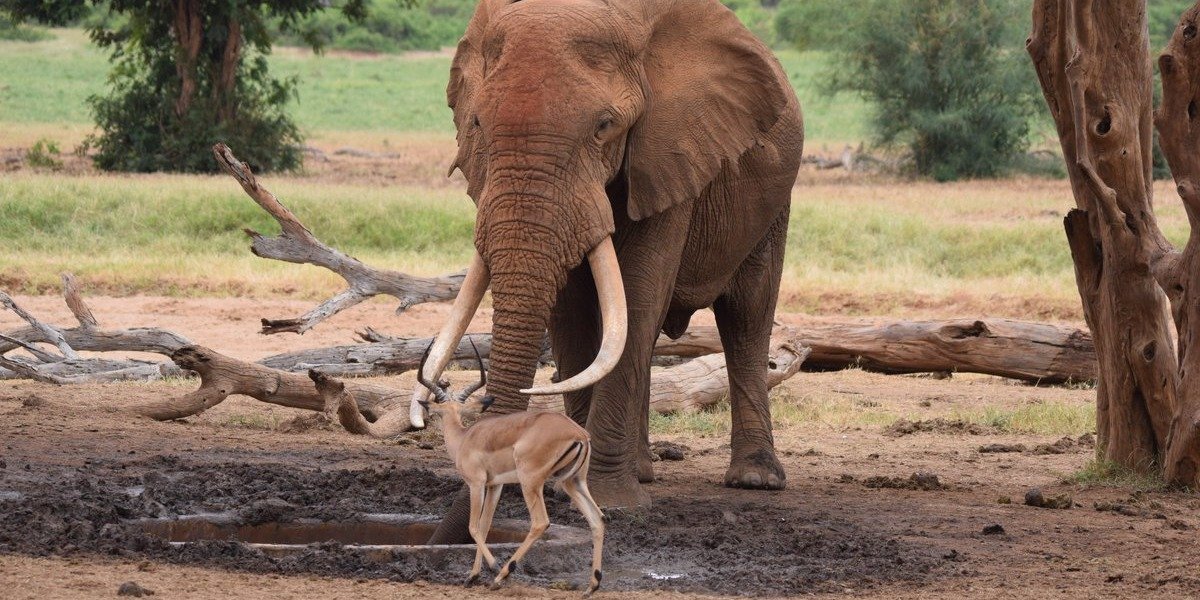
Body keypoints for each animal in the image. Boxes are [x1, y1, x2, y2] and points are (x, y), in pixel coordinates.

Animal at [414, 0, 803, 516]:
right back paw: (643, 470)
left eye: (605, 127)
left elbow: (637, 296)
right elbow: (573, 311)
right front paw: (567, 478)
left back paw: (755, 479)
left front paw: (611, 499)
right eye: (476, 123)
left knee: (747, 316)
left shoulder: (670, 151)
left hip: (772, 203)